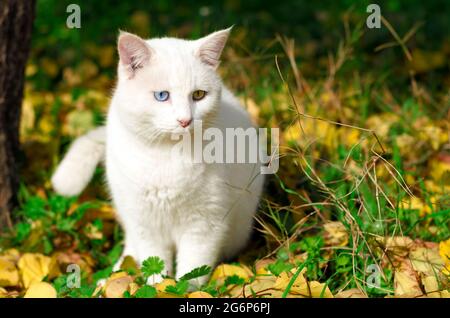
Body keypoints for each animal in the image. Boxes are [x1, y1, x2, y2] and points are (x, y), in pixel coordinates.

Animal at [51, 28, 266, 286]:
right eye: (162, 95)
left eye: (199, 95)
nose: (185, 120)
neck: (168, 155)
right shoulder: (146, 223)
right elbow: (154, 262)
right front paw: (157, 285)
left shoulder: (205, 223)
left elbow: (193, 267)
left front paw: (185, 288)